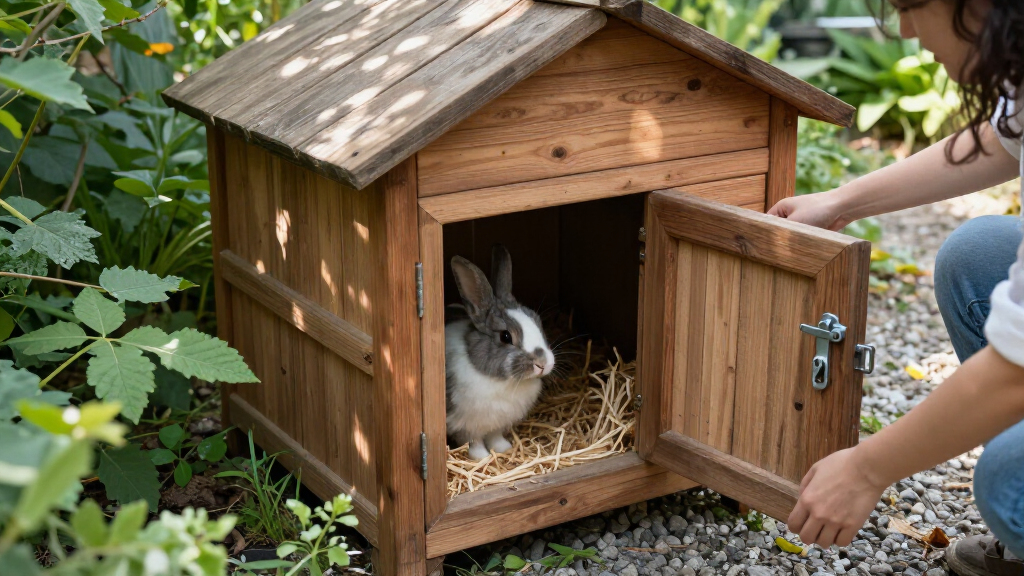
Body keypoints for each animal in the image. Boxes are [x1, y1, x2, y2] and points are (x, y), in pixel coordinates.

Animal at [445, 244, 555, 461]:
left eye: (538, 322)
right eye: (505, 336)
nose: (543, 363)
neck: (504, 382)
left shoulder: (496, 423)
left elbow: (494, 436)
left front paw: (504, 448)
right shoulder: (466, 425)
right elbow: (474, 441)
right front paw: (482, 457)